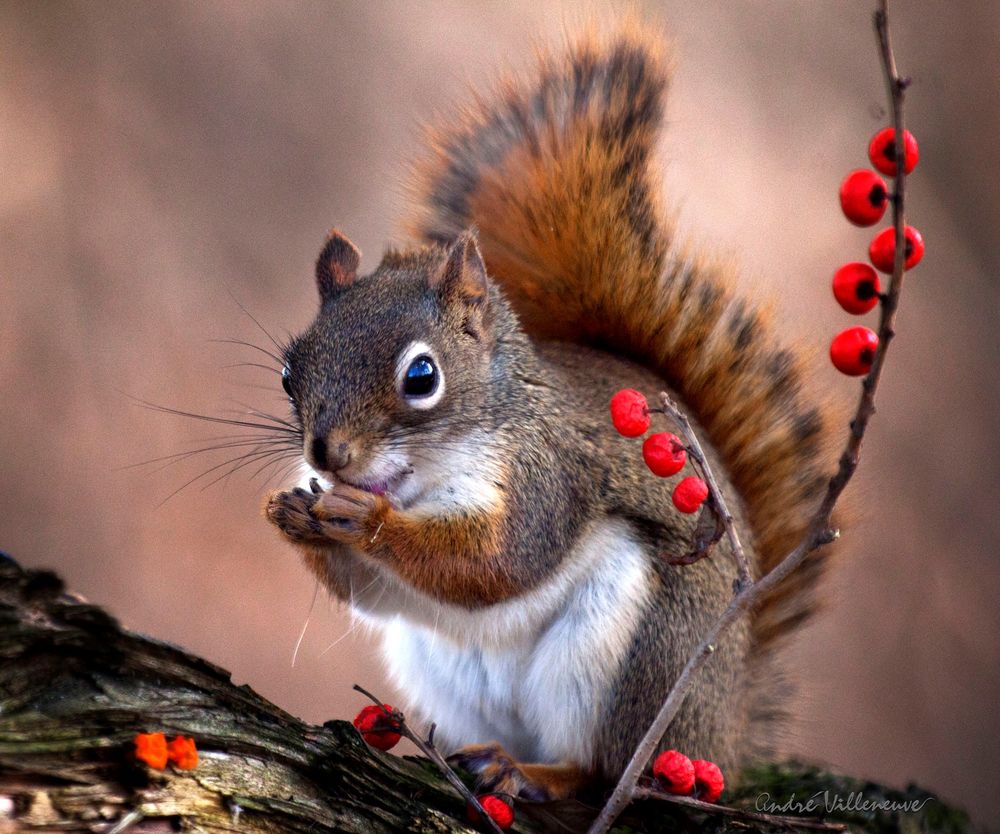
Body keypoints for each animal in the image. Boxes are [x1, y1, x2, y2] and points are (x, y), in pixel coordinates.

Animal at [262, 17, 840, 800]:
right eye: (290, 371)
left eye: (421, 376)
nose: (327, 455)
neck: (424, 478)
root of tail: (723, 733)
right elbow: (375, 593)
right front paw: (292, 513)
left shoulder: (549, 474)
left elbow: (498, 562)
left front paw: (367, 520)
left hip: (637, 657)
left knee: (601, 769)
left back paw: (527, 770)